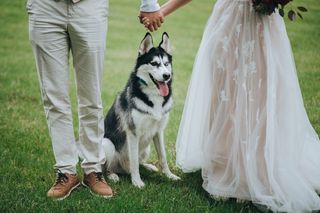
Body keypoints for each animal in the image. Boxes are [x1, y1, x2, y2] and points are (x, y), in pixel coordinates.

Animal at [102, 32, 180, 187]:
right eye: (154, 63)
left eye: (166, 64)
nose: (166, 76)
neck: (153, 95)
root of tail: (122, 169)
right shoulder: (133, 132)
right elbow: (134, 161)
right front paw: (137, 182)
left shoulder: (158, 131)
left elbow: (163, 157)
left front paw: (170, 176)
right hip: (107, 144)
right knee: (105, 168)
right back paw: (112, 175)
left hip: (146, 148)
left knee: (140, 161)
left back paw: (148, 166)